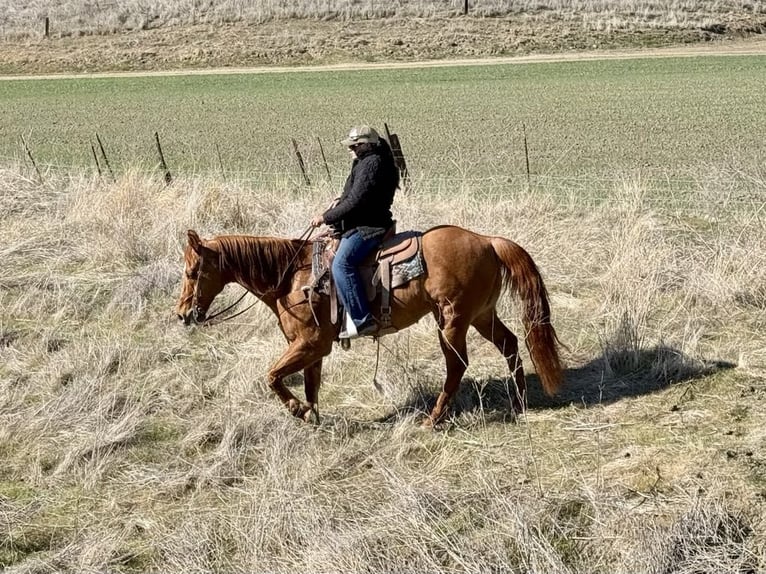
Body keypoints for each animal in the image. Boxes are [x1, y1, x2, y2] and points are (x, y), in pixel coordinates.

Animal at [177, 226, 568, 428]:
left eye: (192, 271)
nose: (183, 314)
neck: (290, 277)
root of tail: (487, 241)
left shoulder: (310, 343)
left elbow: (273, 377)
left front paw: (298, 412)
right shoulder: (311, 349)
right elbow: (310, 385)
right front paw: (313, 417)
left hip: (452, 321)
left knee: (457, 365)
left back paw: (434, 418)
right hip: (482, 315)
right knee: (510, 344)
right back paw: (519, 402)